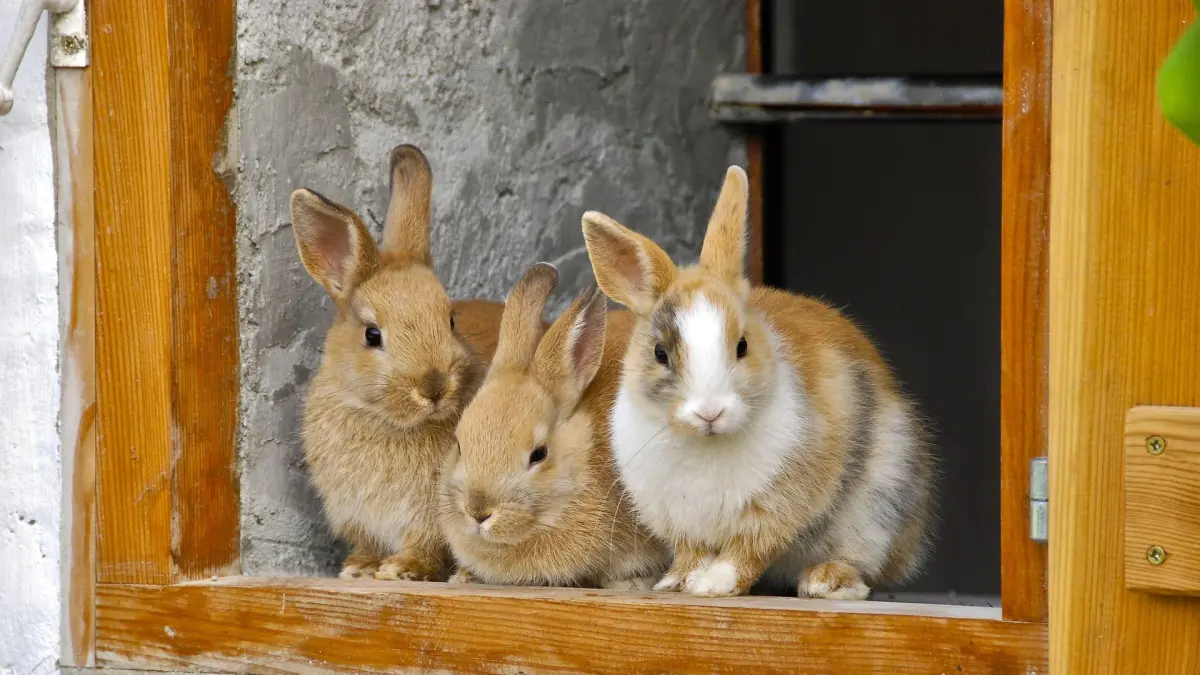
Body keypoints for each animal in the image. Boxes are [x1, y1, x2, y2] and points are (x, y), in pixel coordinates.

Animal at [291, 144, 505, 581]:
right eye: (372, 335)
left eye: (450, 320)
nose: (434, 387)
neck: (386, 420)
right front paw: (359, 568)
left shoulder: (429, 517)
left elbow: (425, 545)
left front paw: (401, 569)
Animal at [579, 166, 934, 599]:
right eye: (660, 353)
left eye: (742, 346)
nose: (710, 411)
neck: (706, 444)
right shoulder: (678, 519)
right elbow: (692, 552)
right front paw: (679, 582)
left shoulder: (774, 506)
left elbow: (748, 549)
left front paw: (714, 585)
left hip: (879, 508)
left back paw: (825, 581)